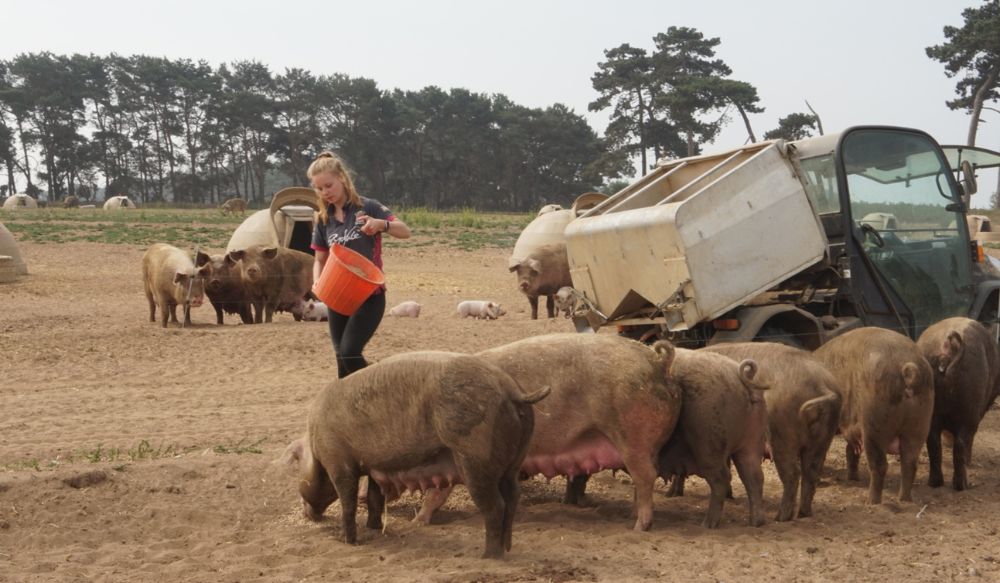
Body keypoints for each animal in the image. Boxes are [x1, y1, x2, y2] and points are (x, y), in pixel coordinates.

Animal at [282, 350, 548, 560]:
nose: (307, 514)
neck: (315, 442)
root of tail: (512, 390)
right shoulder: (374, 467)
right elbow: (375, 498)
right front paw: (374, 529)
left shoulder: (339, 462)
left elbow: (348, 503)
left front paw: (347, 540)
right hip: (514, 460)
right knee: (513, 497)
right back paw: (507, 548)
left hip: (475, 458)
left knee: (495, 506)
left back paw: (488, 556)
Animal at [816, 328, 932, 506]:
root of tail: (908, 367)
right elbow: (851, 450)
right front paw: (852, 478)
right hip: (920, 424)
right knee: (910, 463)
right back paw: (904, 499)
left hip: (874, 423)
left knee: (880, 465)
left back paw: (871, 502)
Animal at [916, 320, 996, 492]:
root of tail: (950, 346)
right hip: (970, 407)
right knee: (961, 444)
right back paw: (962, 485)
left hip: (930, 411)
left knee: (933, 443)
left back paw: (934, 483)